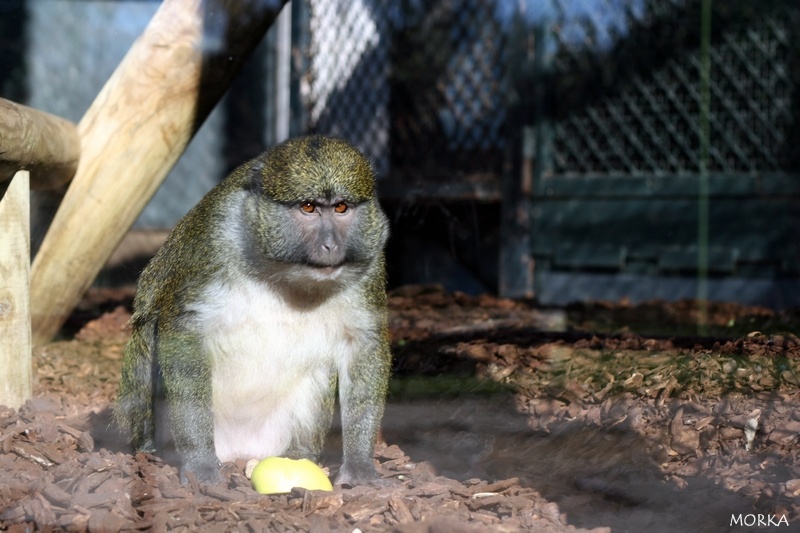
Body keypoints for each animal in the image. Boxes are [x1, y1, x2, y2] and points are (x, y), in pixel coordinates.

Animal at [114, 135, 392, 484]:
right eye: (309, 207)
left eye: (341, 207)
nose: (330, 246)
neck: (283, 271)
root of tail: (240, 449)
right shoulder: (213, 238)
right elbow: (183, 329)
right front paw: (199, 464)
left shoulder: (370, 258)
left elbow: (363, 343)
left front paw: (359, 465)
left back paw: (299, 453)